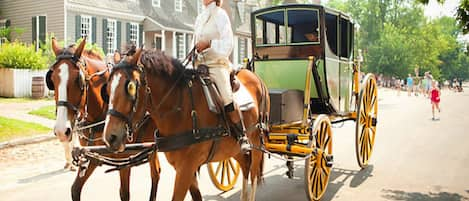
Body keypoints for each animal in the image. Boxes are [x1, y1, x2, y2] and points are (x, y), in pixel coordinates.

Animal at [46, 38, 161, 201]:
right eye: (52, 80)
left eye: (78, 80)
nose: (62, 131)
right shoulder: (93, 156)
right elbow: (75, 189)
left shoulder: (124, 161)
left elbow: (124, 194)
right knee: (156, 173)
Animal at [102, 49, 270, 201]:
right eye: (107, 88)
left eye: (130, 87)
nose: (110, 137)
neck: (181, 107)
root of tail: (255, 77)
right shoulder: (184, 168)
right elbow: (197, 196)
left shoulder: (187, 168)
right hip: (232, 148)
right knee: (245, 165)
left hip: (255, 142)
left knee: (253, 173)